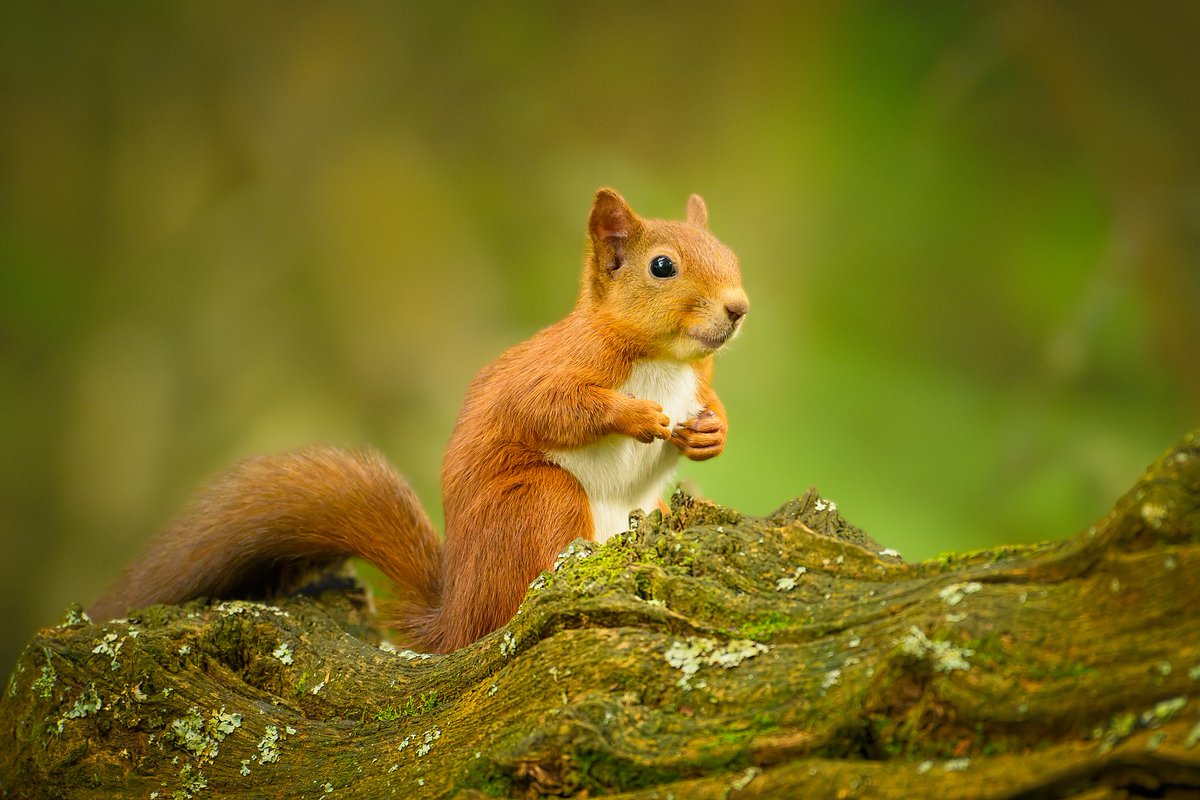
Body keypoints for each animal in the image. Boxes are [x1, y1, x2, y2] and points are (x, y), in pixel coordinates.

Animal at [90, 188, 749, 652]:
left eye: (732, 256)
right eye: (661, 267)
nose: (739, 308)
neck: (663, 361)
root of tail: (456, 619)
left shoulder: (698, 384)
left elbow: (710, 408)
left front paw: (711, 433)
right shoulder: (555, 370)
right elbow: (552, 408)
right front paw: (635, 415)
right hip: (540, 501)